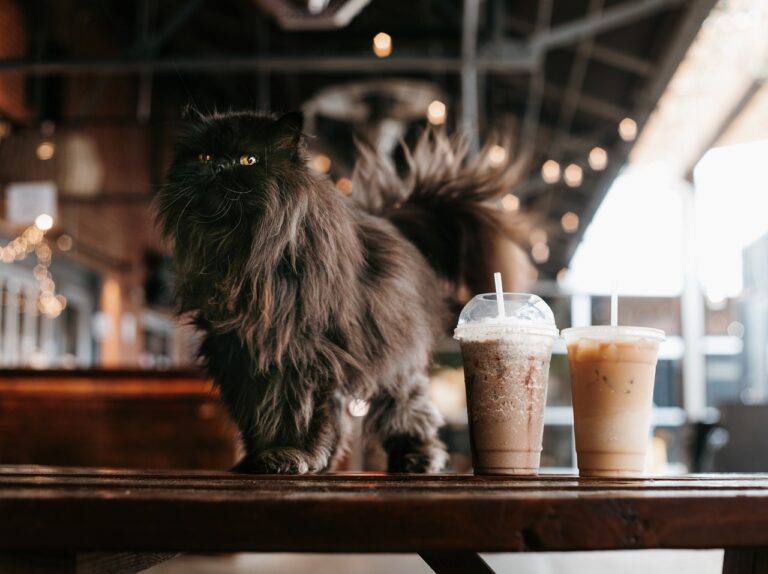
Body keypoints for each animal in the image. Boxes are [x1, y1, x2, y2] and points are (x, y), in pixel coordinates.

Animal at [156, 109, 520, 476]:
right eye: (203, 156)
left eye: (249, 159)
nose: (218, 167)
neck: (241, 254)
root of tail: (392, 225)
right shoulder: (239, 354)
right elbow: (257, 414)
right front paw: (258, 458)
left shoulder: (300, 353)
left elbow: (292, 412)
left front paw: (287, 455)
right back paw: (328, 462)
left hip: (392, 363)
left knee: (408, 410)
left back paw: (416, 459)